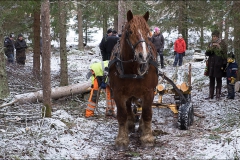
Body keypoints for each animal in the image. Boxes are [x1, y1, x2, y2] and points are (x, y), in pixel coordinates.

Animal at [108, 10, 158, 151]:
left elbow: (147, 113)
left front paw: (147, 137)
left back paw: (141, 126)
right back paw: (130, 123)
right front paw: (122, 139)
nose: (143, 56)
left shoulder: (149, 91)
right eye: (130, 32)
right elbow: (122, 114)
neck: (132, 70)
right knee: (129, 105)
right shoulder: (118, 92)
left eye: (148, 32)